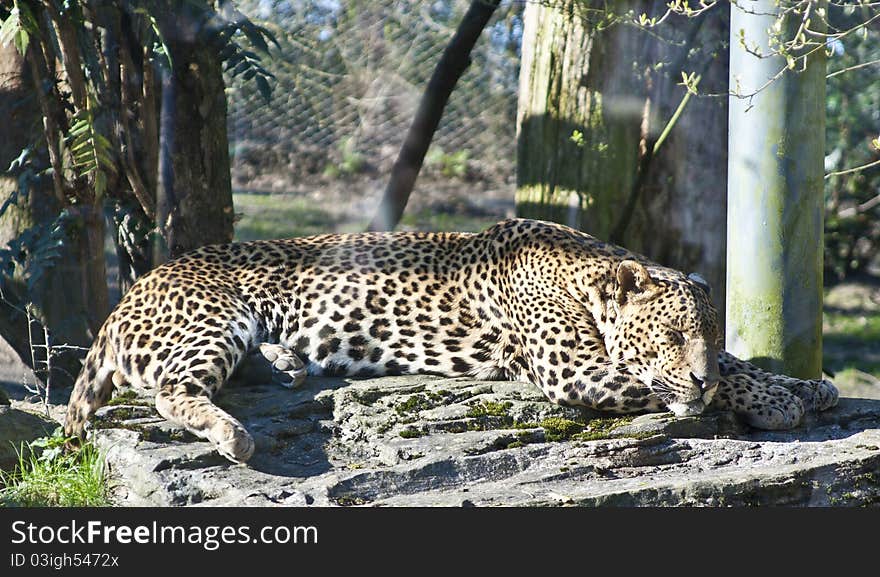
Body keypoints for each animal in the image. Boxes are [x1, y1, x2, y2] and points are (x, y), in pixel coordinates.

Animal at [63, 218, 840, 462]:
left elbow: (742, 364)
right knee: (169, 390)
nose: (697, 376)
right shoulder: (574, 370)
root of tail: (130, 291)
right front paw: (766, 399)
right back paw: (234, 434)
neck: (584, 271)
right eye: (675, 335)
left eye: (708, 330)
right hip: (210, 320)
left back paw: (286, 362)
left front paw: (801, 385)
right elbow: (686, 382)